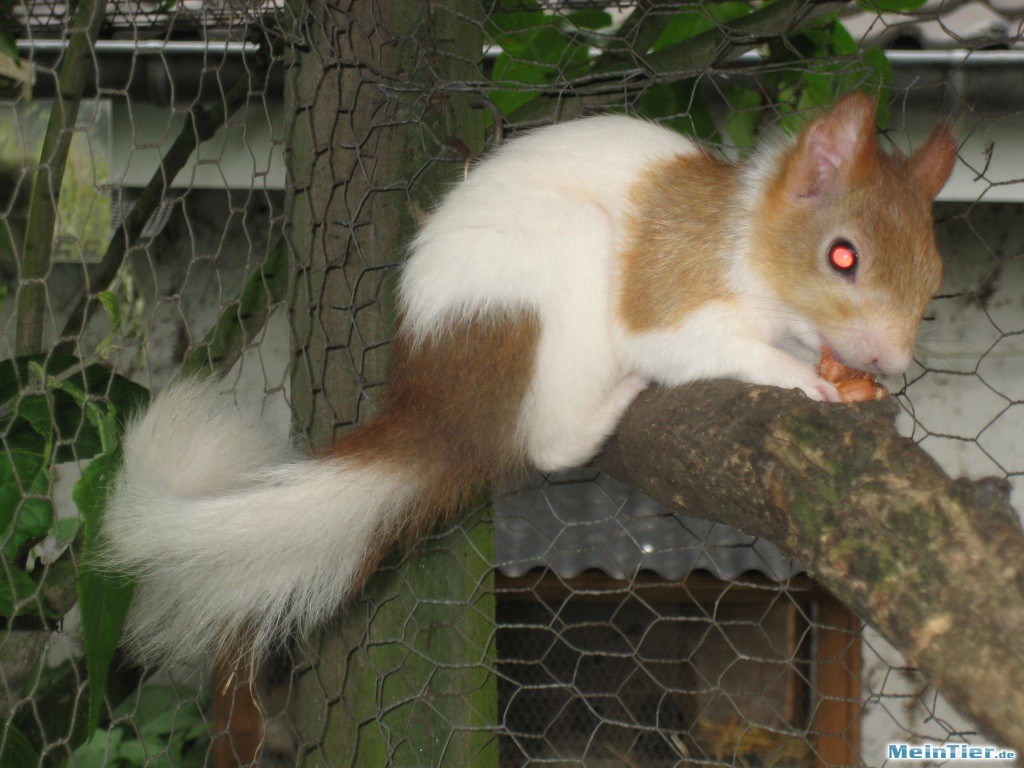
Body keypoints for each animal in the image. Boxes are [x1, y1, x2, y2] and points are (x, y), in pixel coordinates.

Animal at [103, 92, 957, 666]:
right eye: (842, 256)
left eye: (935, 275)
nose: (891, 360)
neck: (746, 237)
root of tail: (443, 402)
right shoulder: (670, 292)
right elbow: (702, 343)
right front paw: (806, 379)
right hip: (565, 258)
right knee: (548, 444)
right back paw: (615, 399)